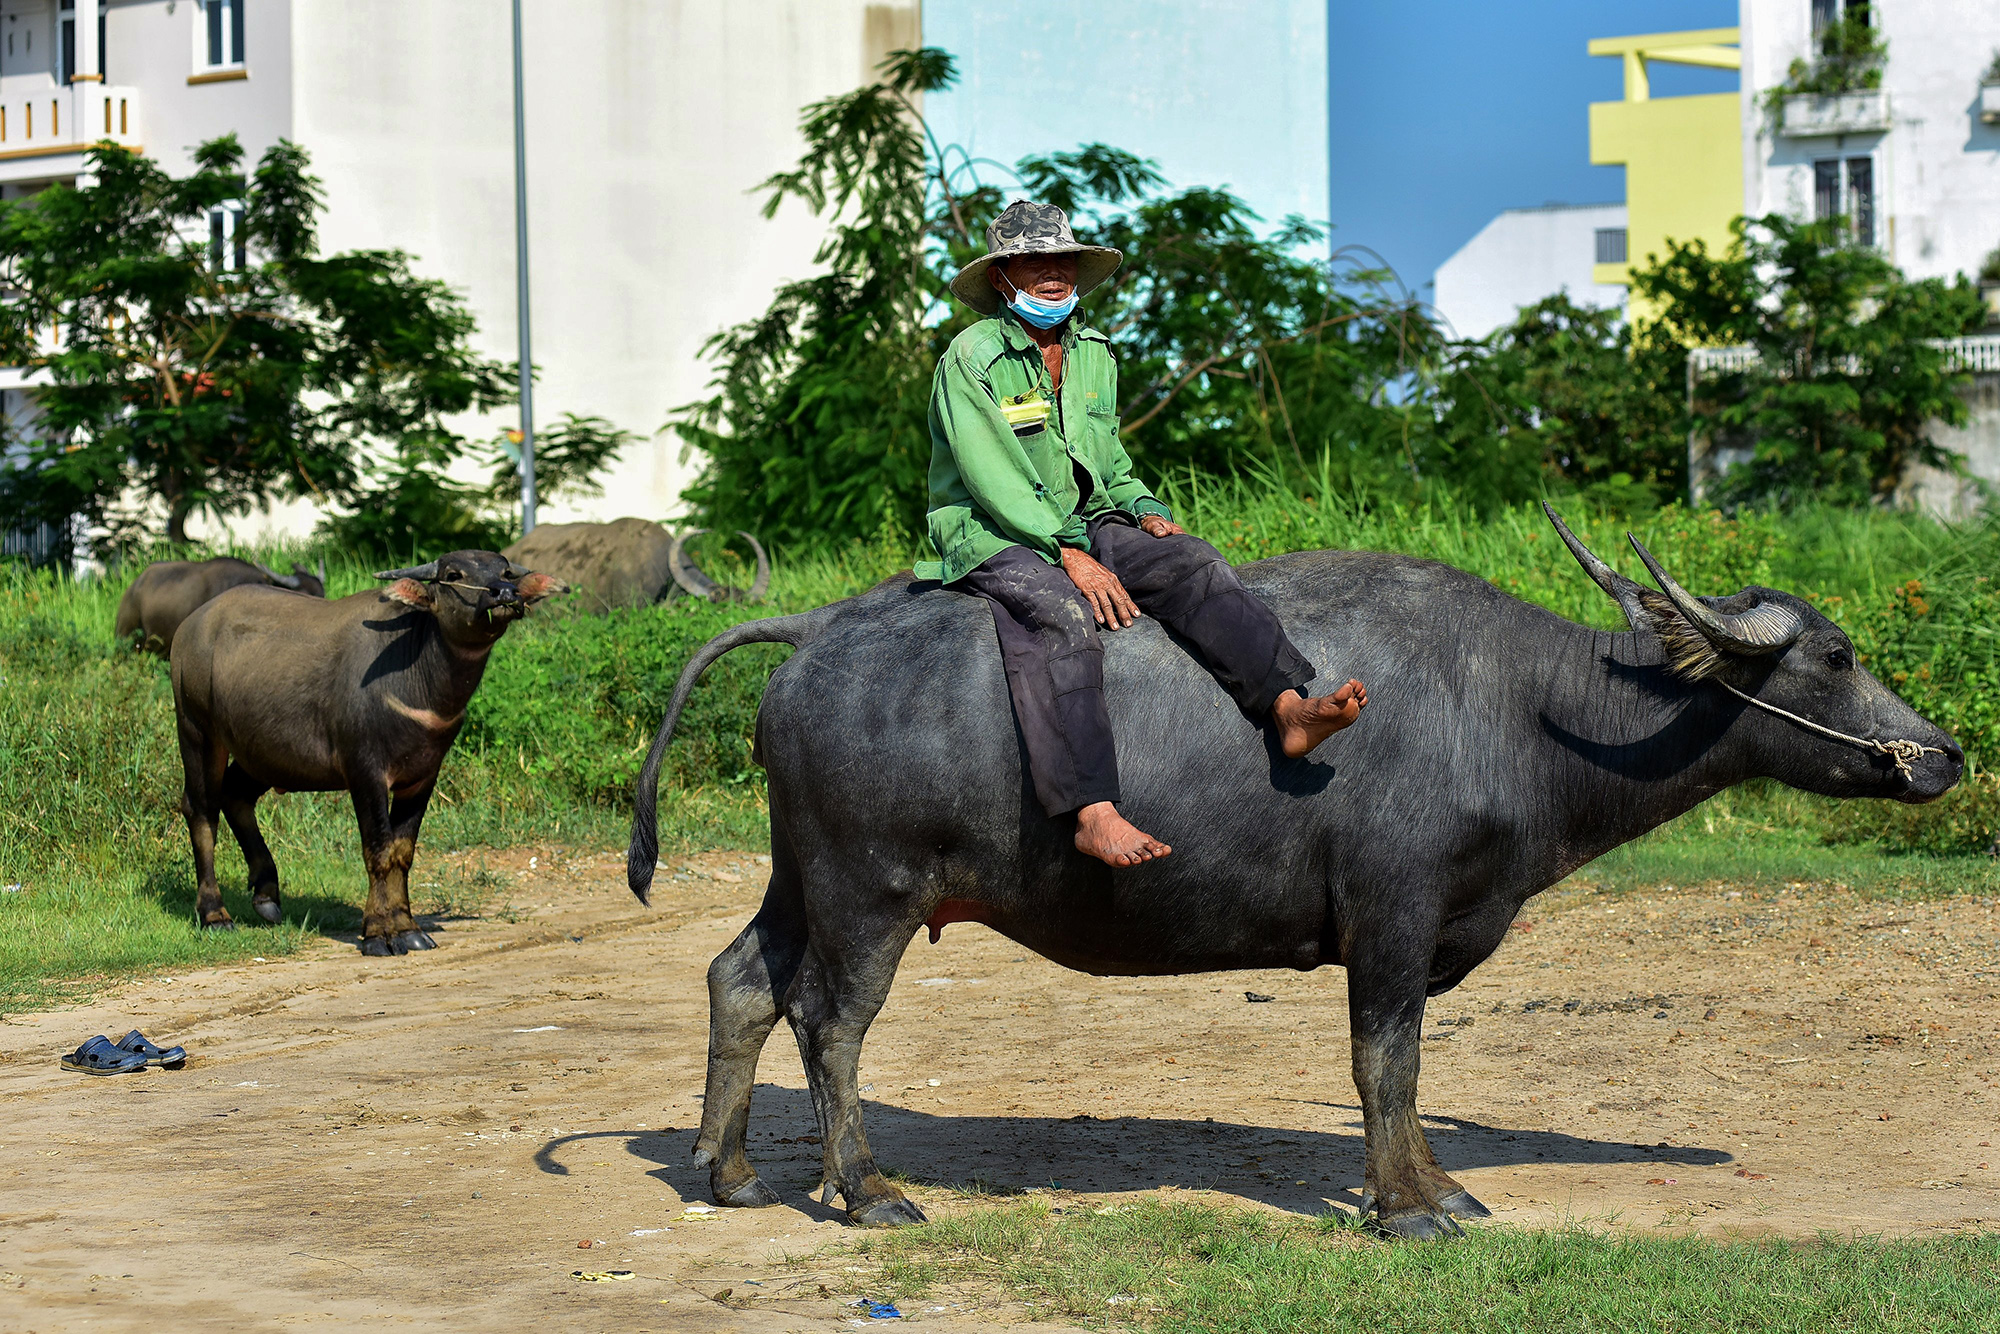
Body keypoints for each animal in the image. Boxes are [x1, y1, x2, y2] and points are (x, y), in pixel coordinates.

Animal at [170, 552, 564, 948]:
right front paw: (378, 931)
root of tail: (189, 627)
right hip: (197, 731)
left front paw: (407, 926)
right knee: (202, 809)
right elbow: (377, 850)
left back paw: (266, 894)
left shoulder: (422, 776)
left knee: (235, 795)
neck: (415, 678)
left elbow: (402, 852)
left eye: (506, 572)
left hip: (263, 754)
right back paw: (214, 914)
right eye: (454, 575)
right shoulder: (364, 772)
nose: (504, 593)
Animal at [624, 506, 1952, 1240]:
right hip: (871, 890)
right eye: (1837, 655)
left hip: (798, 876)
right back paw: (867, 1191)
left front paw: (1442, 1190)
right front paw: (1404, 1207)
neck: (1521, 709)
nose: (1938, 753)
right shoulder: (1392, 915)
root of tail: (815, 630)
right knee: (830, 1019)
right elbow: (1384, 1062)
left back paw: (730, 1172)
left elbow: (1407, 1071)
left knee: (740, 978)